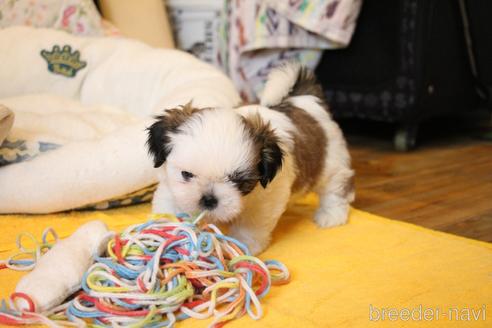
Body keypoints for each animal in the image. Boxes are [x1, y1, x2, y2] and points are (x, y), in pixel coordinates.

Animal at [146, 62, 354, 255]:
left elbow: (251, 225)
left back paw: (331, 215)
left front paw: (241, 247)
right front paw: (166, 232)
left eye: (238, 181)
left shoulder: (265, 201)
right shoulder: (171, 187)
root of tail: (304, 102)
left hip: (331, 161)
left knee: (336, 187)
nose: (209, 199)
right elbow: (172, 206)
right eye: (186, 174)